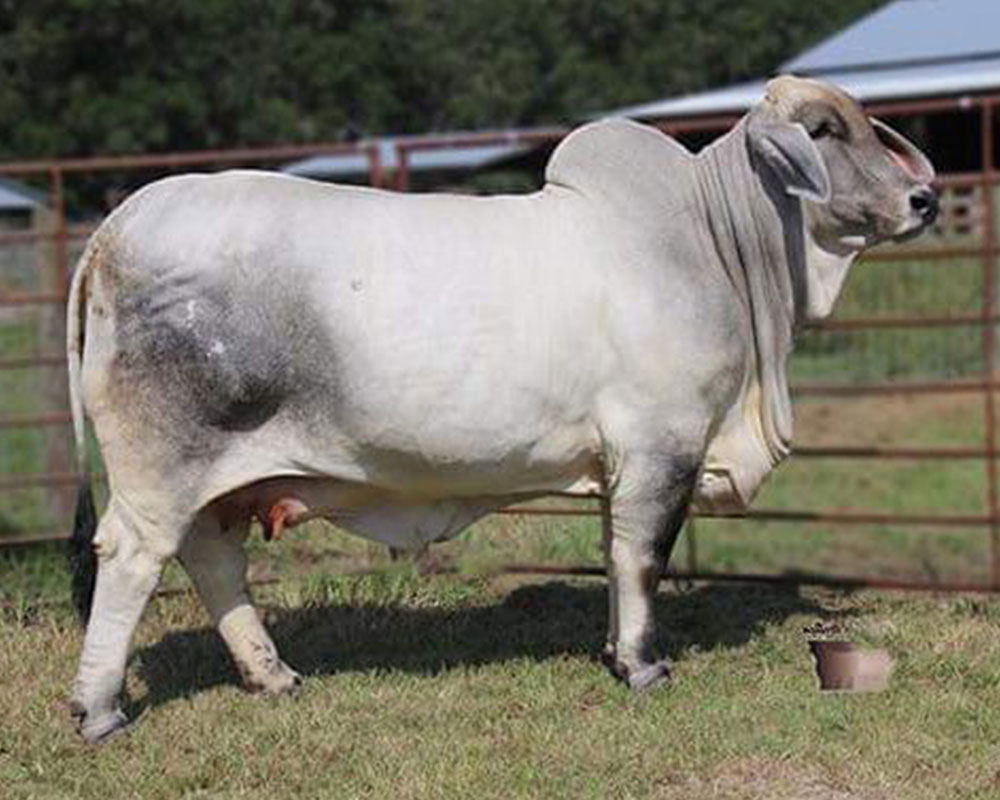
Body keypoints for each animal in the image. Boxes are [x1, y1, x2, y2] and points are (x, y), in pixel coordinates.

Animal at [64, 78, 936, 740]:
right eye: (823, 130)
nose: (925, 198)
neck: (716, 240)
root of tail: (116, 226)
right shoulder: (661, 445)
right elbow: (642, 557)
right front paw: (644, 665)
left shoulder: (622, 461)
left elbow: (613, 553)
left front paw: (616, 652)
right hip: (163, 462)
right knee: (134, 558)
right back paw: (100, 710)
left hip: (213, 475)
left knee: (212, 558)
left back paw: (273, 675)